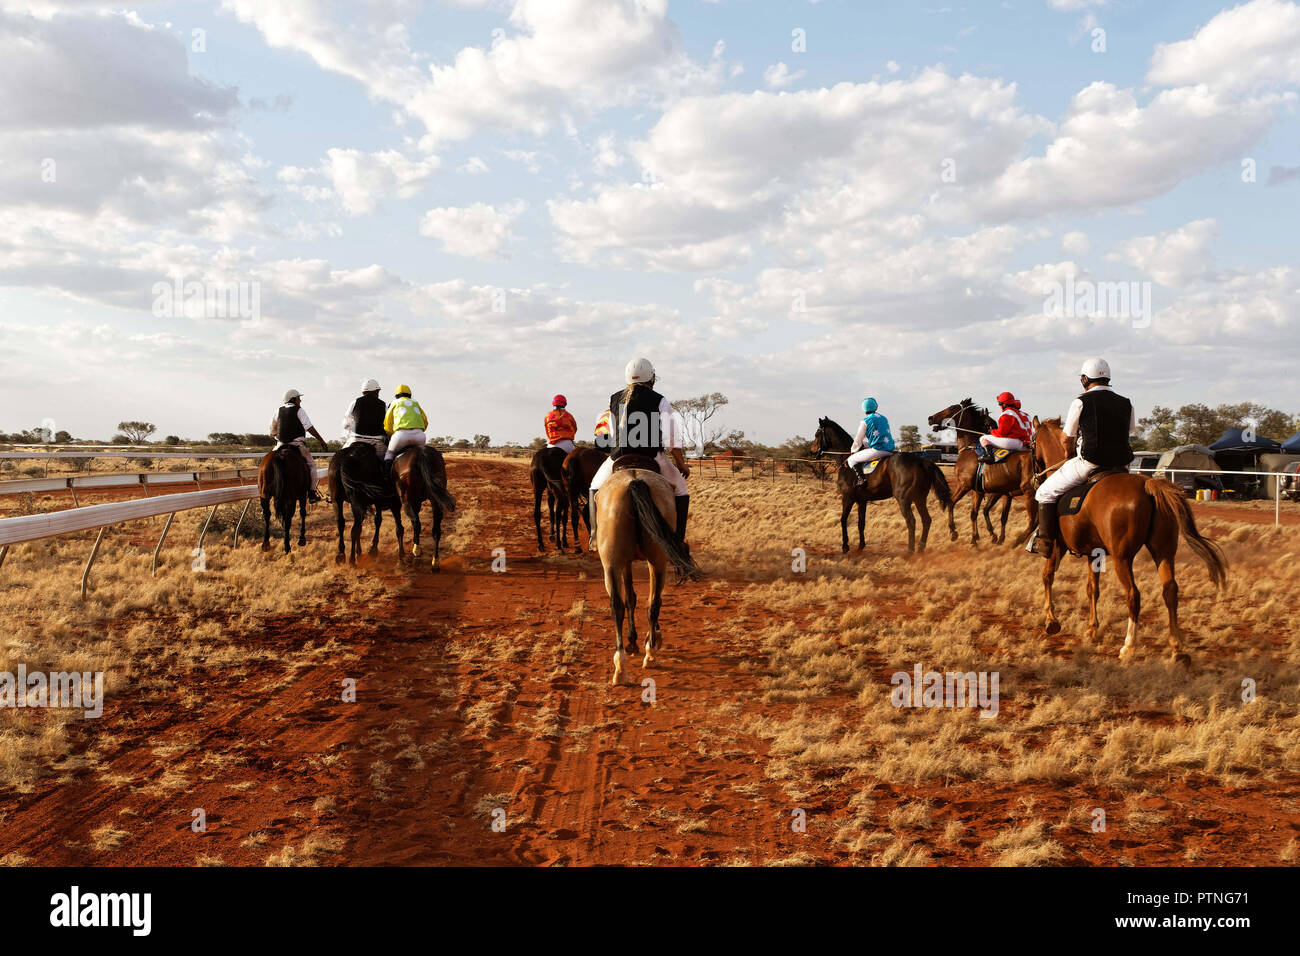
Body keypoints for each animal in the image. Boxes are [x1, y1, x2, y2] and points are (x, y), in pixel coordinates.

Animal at [595, 457, 702, 686]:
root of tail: (634, 481)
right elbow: (633, 598)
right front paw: (641, 640)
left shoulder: (624, 562)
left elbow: (630, 598)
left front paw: (634, 641)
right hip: (654, 560)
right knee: (651, 603)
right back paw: (642, 656)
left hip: (615, 562)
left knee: (622, 605)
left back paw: (631, 662)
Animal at [811, 416, 956, 554]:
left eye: (817, 433)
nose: (812, 450)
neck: (846, 462)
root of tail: (921, 461)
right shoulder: (861, 501)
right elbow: (861, 523)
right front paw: (860, 546)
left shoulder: (847, 498)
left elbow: (843, 519)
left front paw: (845, 546)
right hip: (919, 498)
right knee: (926, 520)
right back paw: (921, 548)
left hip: (903, 499)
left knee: (911, 521)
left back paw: (910, 551)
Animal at [930, 395, 1040, 546]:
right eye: (988, 422)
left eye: (951, 408)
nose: (930, 418)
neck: (970, 448)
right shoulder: (981, 490)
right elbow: (977, 512)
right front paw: (979, 537)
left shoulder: (965, 485)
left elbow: (952, 502)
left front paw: (954, 531)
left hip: (1030, 492)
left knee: (1034, 521)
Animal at [1024, 418, 1227, 665]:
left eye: (1031, 443)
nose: (1033, 479)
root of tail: (1148, 486)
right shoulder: (1094, 553)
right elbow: (1092, 588)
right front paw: (1092, 630)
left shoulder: (1057, 546)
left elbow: (1047, 576)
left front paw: (1051, 621)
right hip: (1163, 552)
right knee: (1170, 591)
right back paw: (1177, 648)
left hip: (1123, 558)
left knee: (1133, 595)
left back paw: (1128, 647)